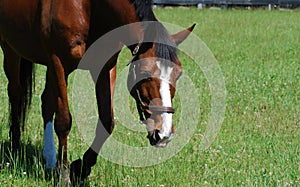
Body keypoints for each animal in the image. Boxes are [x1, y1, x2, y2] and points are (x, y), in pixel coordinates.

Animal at [0, 0, 195, 184]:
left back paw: (49, 158)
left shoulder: (105, 67)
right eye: (145, 73)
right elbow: (63, 120)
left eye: (178, 73)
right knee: (15, 93)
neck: (89, 7)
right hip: (11, 50)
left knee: (46, 101)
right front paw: (64, 173)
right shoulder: (58, 62)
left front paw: (80, 168)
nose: (164, 134)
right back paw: (16, 147)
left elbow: (107, 122)